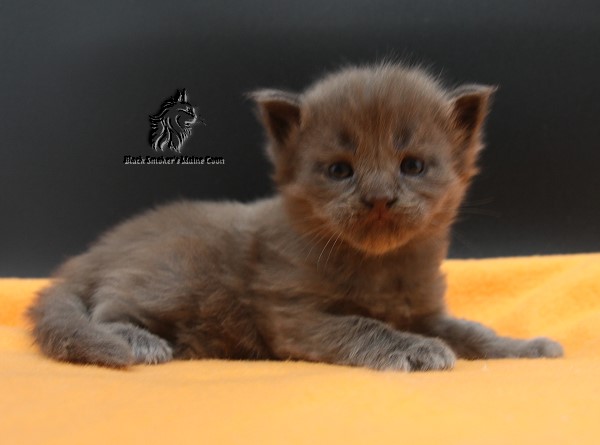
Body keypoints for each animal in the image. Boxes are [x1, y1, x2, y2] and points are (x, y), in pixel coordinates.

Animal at [28, 62, 563, 370]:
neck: (379, 266)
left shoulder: (427, 311)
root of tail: (92, 254)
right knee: (106, 309)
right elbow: (360, 326)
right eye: (340, 170)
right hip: (175, 271)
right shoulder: (292, 312)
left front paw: (525, 348)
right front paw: (414, 348)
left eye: (412, 166)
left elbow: (473, 331)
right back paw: (138, 340)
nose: (379, 198)